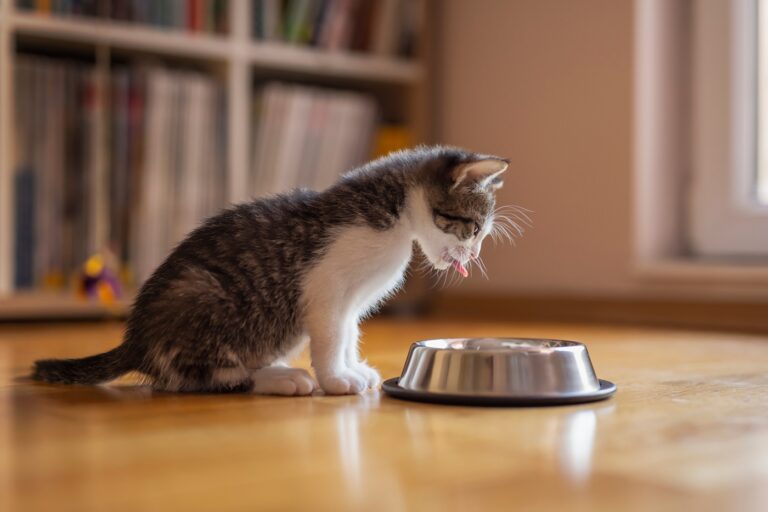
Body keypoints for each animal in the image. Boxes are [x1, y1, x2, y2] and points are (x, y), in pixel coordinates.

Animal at [30, 145, 520, 396]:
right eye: (473, 228)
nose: (473, 256)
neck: (395, 214)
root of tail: (136, 339)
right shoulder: (326, 287)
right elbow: (331, 336)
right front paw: (336, 379)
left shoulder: (351, 301)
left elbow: (348, 332)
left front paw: (351, 367)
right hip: (202, 294)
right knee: (198, 376)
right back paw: (278, 377)